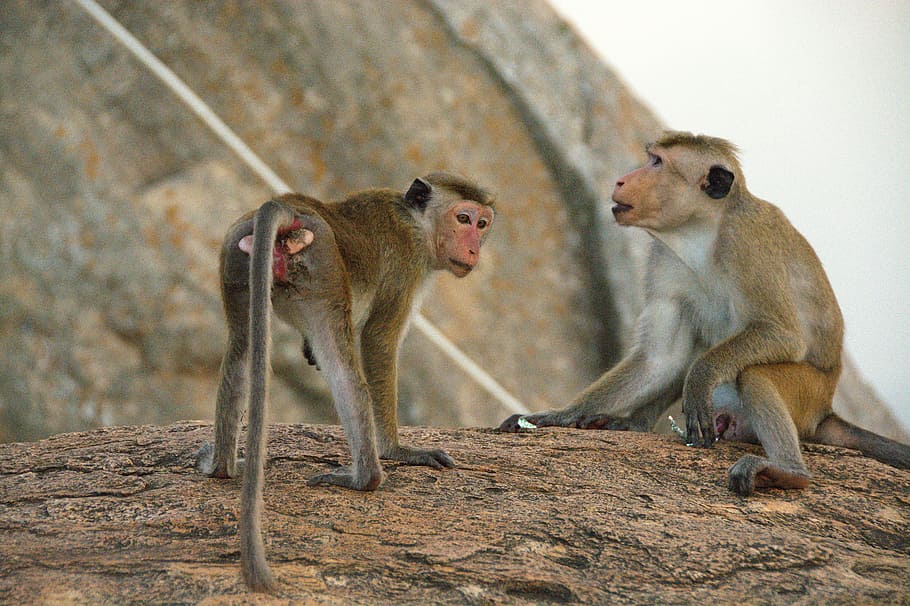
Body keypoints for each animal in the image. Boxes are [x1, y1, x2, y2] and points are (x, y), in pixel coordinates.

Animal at [195, 172, 495, 592]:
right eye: (463, 218)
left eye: (482, 224)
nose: (473, 249)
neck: (414, 221)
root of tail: (289, 207)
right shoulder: (408, 263)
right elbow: (378, 340)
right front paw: (398, 450)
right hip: (322, 265)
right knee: (341, 360)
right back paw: (366, 477)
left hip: (239, 258)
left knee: (240, 350)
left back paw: (221, 466)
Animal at [499, 131, 910, 496]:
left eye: (657, 163)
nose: (620, 179)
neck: (700, 232)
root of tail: (825, 411)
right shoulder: (662, 259)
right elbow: (661, 359)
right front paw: (560, 416)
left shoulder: (747, 240)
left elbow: (781, 334)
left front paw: (701, 376)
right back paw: (628, 424)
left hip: (807, 395)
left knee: (756, 373)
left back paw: (788, 472)